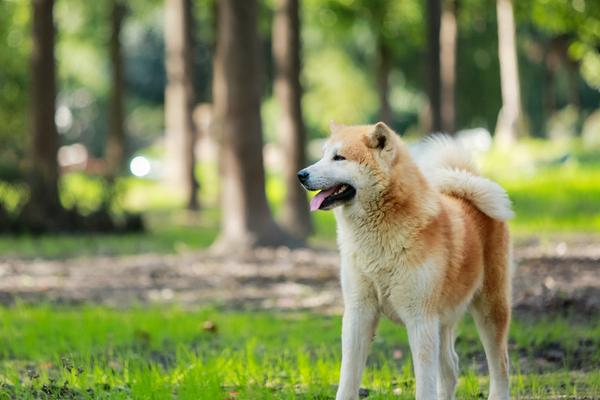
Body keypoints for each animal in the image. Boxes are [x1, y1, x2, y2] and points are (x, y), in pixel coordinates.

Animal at [298, 122, 512, 400]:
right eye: (323, 155)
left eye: (339, 157)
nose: (301, 175)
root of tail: (467, 189)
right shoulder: (359, 312)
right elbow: (348, 378)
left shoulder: (420, 319)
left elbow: (425, 384)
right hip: (442, 321)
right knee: (451, 368)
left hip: (489, 309)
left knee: (501, 366)